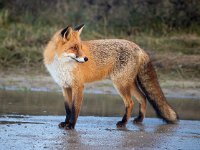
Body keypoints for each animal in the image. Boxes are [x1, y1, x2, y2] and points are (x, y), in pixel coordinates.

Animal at [43, 24, 178, 129]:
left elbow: (75, 109)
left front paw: (71, 125)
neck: (61, 64)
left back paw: (123, 122)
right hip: (129, 84)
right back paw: (139, 119)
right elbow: (68, 109)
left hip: (120, 84)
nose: (86, 59)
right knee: (143, 98)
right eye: (74, 47)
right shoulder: (65, 86)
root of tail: (138, 47)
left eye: (80, 47)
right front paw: (66, 123)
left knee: (130, 103)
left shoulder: (78, 86)